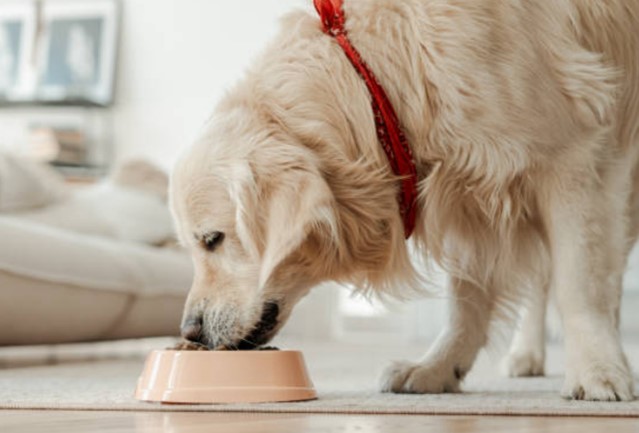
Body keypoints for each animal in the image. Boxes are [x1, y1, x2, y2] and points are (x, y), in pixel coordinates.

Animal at [170, 0, 639, 402]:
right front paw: (439, 368)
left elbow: (580, 283)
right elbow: (465, 300)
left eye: (213, 239)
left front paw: (597, 371)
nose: (190, 331)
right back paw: (527, 355)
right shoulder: (471, 187)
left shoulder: (573, 157)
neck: (376, 81)